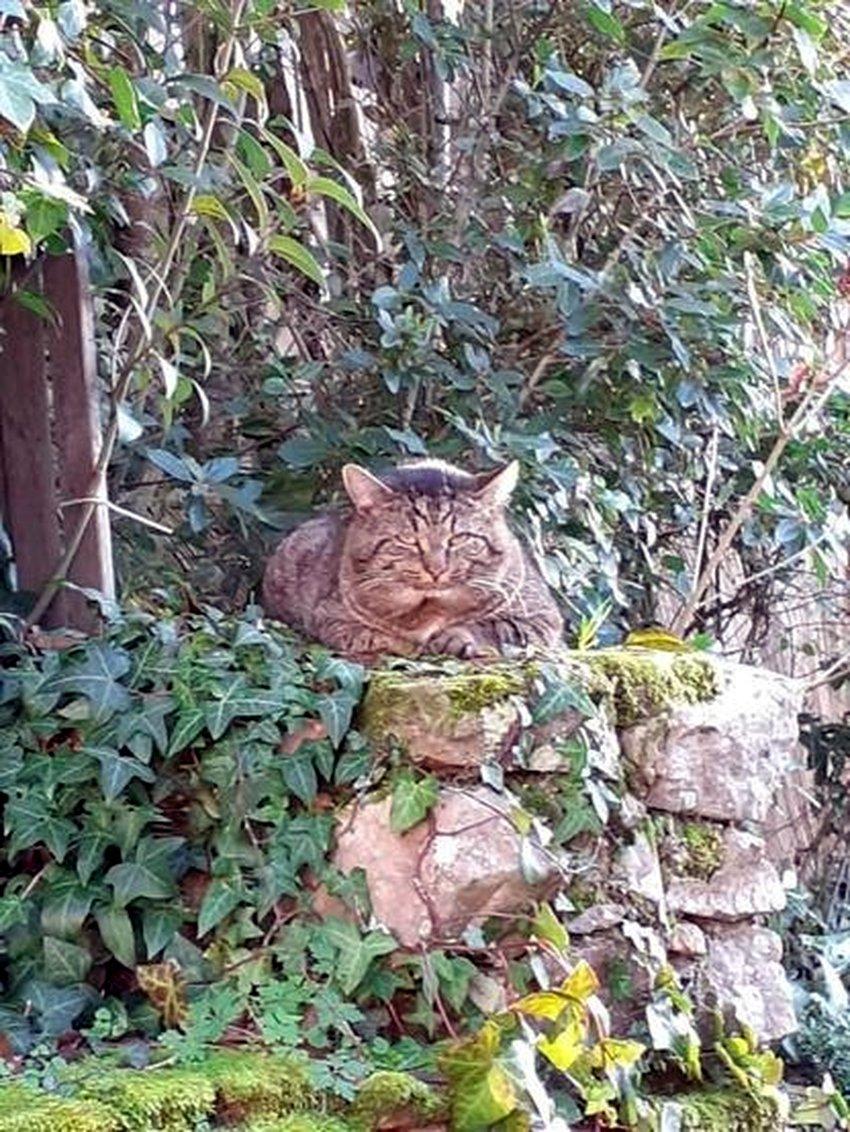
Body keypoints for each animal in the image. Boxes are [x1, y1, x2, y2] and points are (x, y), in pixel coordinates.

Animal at [262, 459, 564, 662]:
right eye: (408, 540)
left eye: (459, 538)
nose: (436, 569)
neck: (428, 608)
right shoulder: (328, 615)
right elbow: (360, 634)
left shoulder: (543, 619)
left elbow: (495, 627)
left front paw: (454, 637)